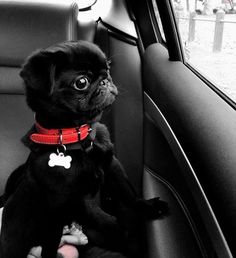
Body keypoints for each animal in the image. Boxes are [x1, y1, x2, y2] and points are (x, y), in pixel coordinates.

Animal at [0, 40, 168, 258]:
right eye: (81, 82)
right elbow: (103, 218)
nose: (105, 80)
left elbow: (127, 192)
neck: (79, 137)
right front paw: (125, 234)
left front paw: (146, 207)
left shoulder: (112, 165)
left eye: (108, 68)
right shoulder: (72, 199)